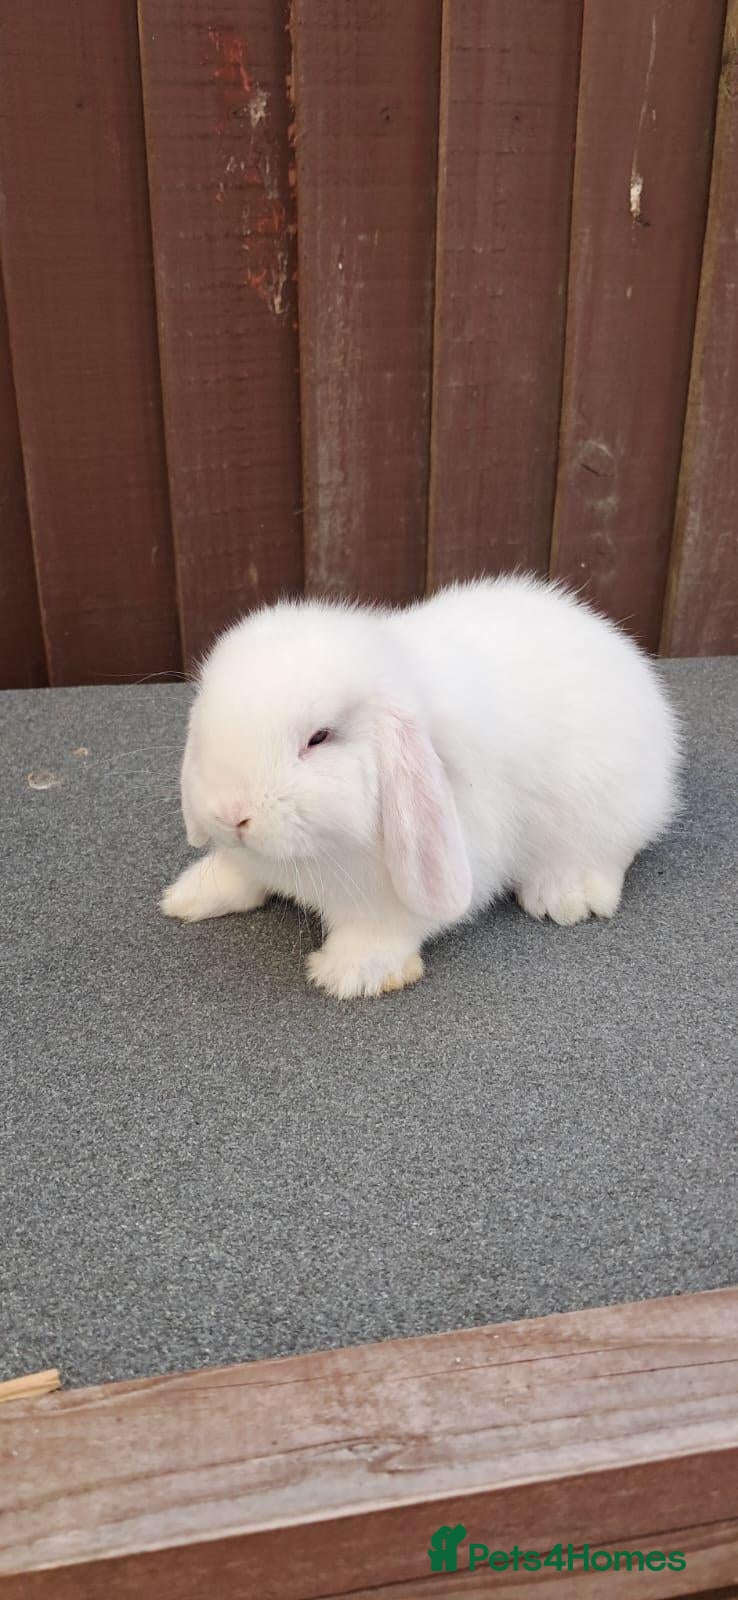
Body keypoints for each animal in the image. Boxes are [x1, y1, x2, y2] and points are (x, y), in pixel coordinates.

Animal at [160, 575, 680, 999]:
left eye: (319, 737)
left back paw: (565, 896)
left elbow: (390, 924)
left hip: (605, 808)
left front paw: (354, 971)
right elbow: (241, 873)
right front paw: (190, 895)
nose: (231, 814)